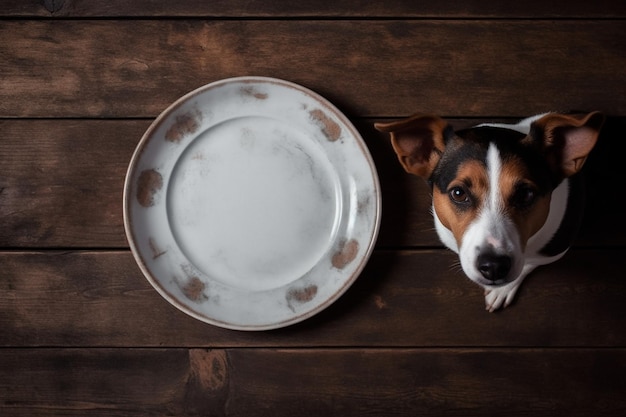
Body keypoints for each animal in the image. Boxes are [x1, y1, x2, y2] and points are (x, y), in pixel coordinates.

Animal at [372, 112, 604, 310]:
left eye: (526, 194)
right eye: (458, 193)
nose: (493, 266)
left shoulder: (553, 252)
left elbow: (528, 265)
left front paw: (503, 289)